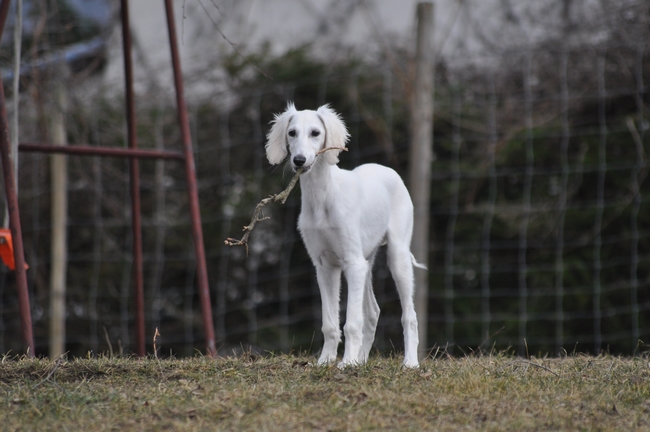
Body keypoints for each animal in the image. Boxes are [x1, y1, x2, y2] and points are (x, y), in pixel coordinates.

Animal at [264, 102, 426, 368]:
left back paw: (410, 363)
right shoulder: (325, 266)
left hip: (397, 257)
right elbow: (330, 324)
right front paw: (326, 361)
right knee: (372, 313)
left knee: (408, 315)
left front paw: (347, 362)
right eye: (292, 133)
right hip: (367, 261)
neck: (323, 197)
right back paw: (362, 360)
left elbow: (351, 321)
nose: (299, 161)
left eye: (315, 133)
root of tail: (387, 169)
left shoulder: (352, 263)